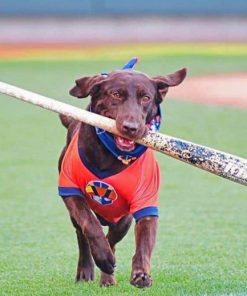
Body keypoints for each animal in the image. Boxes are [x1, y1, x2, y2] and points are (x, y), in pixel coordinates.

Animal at [57, 67, 185, 286]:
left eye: (146, 97)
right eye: (116, 94)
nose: (131, 128)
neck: (111, 155)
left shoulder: (144, 202)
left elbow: (144, 240)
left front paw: (141, 273)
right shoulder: (70, 190)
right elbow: (90, 225)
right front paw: (103, 257)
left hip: (122, 219)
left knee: (112, 237)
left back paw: (107, 277)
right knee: (82, 234)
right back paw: (87, 269)